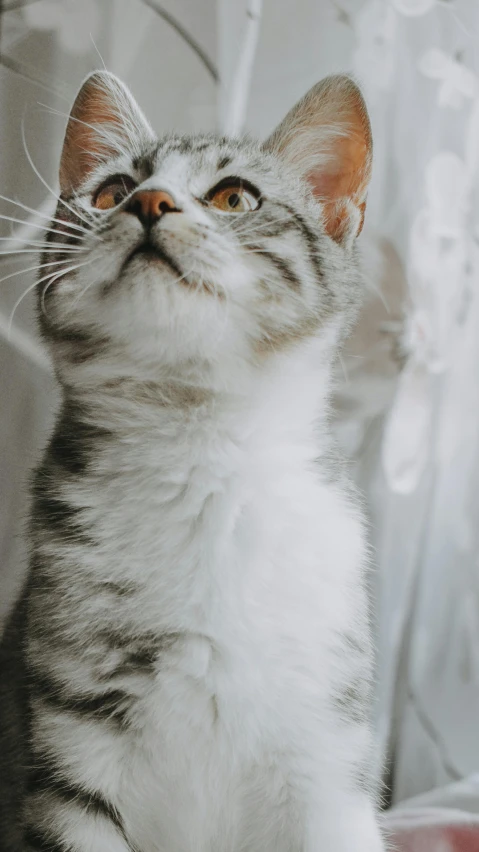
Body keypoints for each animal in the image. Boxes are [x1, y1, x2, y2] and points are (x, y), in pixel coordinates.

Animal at [0, 68, 384, 852]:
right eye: (112, 191)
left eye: (235, 197)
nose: (149, 202)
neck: (201, 455)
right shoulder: (67, 741)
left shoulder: (329, 754)